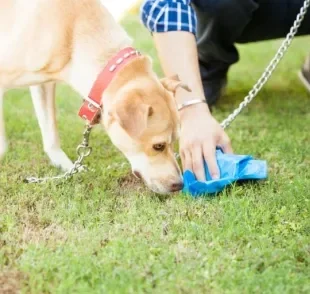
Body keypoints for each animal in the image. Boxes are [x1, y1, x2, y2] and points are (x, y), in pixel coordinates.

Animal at [0, 0, 190, 194]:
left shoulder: (44, 83)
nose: (179, 185)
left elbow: (50, 131)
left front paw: (66, 167)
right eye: (158, 146)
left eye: (175, 140)